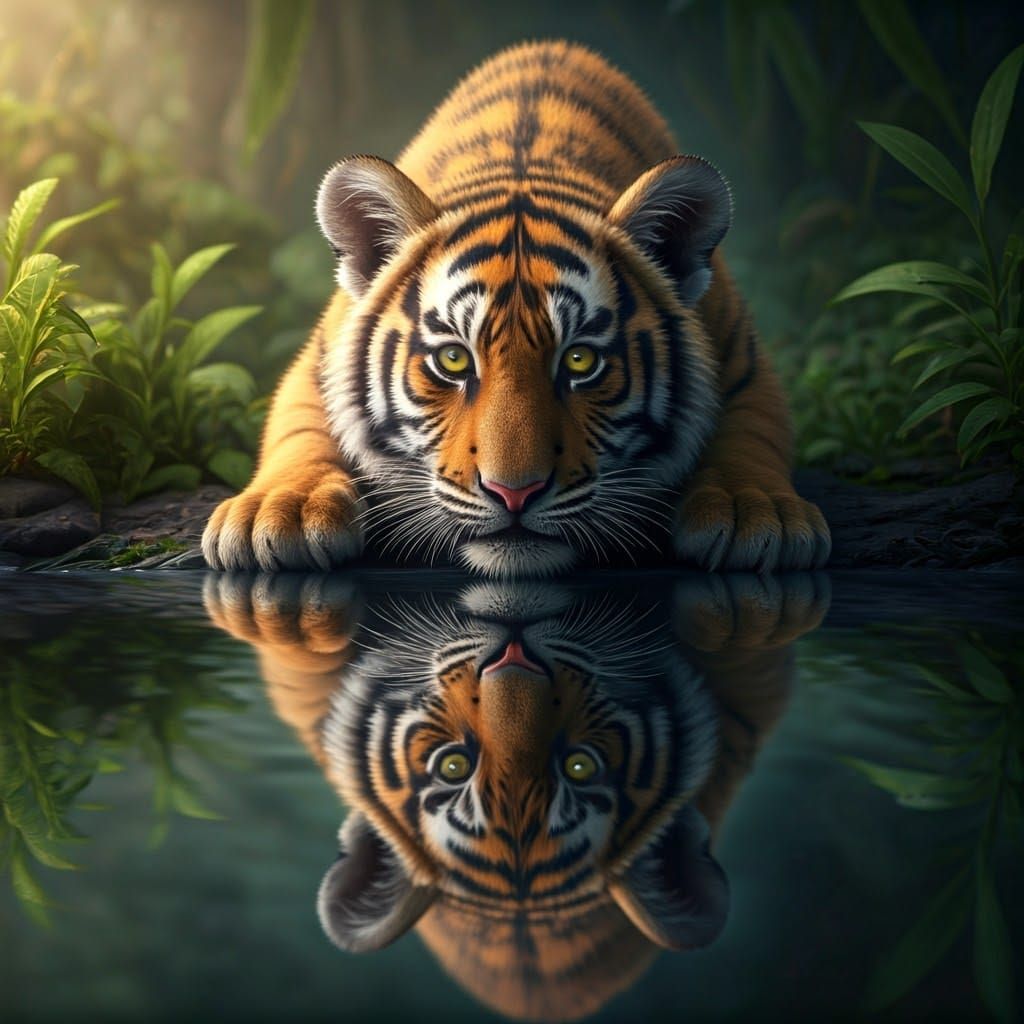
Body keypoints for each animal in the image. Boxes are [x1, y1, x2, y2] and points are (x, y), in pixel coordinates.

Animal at [201, 39, 831, 577]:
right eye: (454, 360)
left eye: (580, 361)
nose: (515, 493)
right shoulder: (315, 364)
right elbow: (297, 431)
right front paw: (280, 512)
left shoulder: (743, 362)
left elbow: (752, 434)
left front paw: (754, 512)